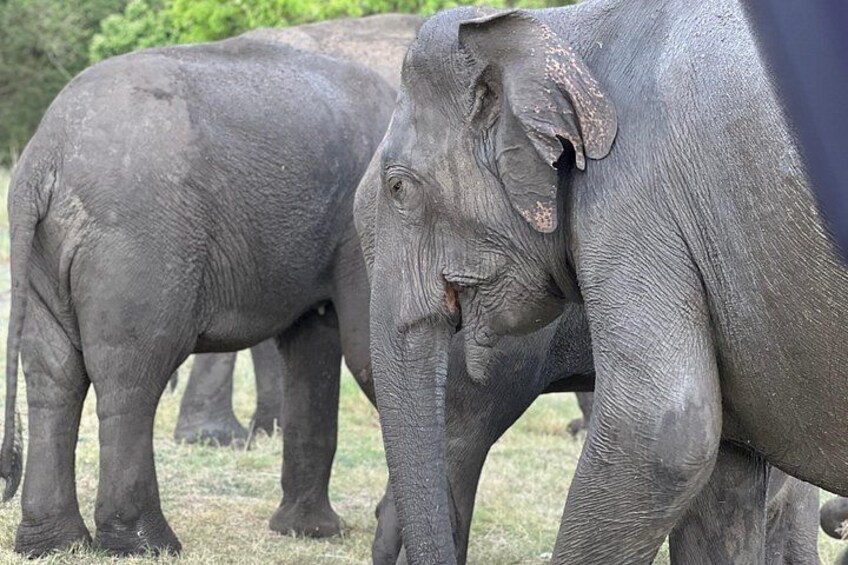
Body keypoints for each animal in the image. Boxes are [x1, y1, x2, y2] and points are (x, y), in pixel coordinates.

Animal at [0, 35, 396, 557]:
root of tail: (44, 158)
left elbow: (313, 348)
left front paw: (308, 533)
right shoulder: (368, 222)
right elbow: (369, 353)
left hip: (49, 252)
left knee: (54, 374)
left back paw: (54, 546)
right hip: (141, 243)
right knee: (132, 372)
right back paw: (146, 546)